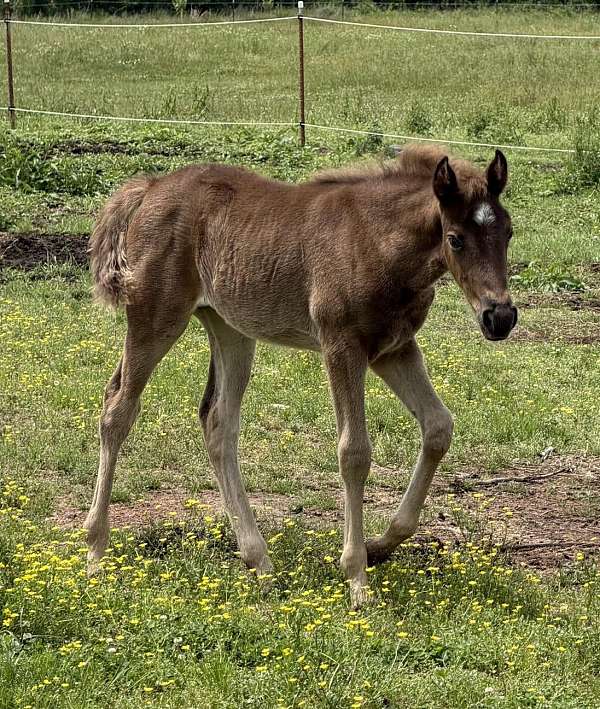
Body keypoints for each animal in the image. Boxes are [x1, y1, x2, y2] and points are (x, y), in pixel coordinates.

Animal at [86, 143, 516, 608]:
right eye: (455, 239)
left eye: (509, 233)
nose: (500, 317)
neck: (376, 242)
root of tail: (151, 186)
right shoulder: (341, 346)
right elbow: (354, 452)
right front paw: (356, 578)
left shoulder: (394, 349)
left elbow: (438, 426)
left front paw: (381, 545)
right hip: (156, 315)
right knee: (118, 409)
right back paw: (95, 552)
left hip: (231, 329)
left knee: (218, 421)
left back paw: (259, 559)